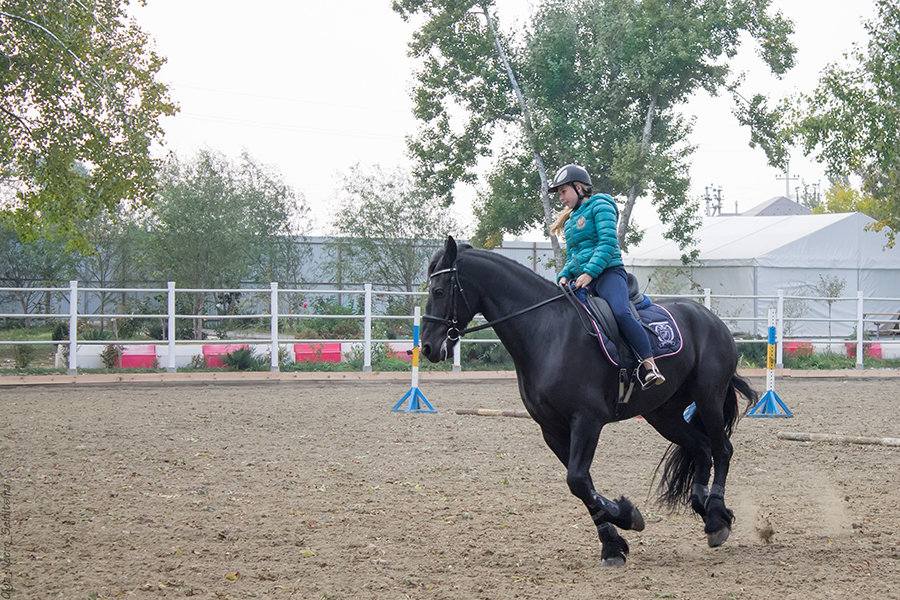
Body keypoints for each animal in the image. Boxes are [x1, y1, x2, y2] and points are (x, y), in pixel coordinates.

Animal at [422, 237, 760, 564]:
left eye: (439, 290)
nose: (427, 347)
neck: (547, 332)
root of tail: (710, 318)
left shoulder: (587, 420)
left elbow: (578, 480)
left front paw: (628, 516)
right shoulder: (552, 429)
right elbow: (583, 484)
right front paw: (612, 543)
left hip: (708, 397)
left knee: (722, 449)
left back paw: (715, 516)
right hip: (664, 414)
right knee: (701, 447)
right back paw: (708, 511)